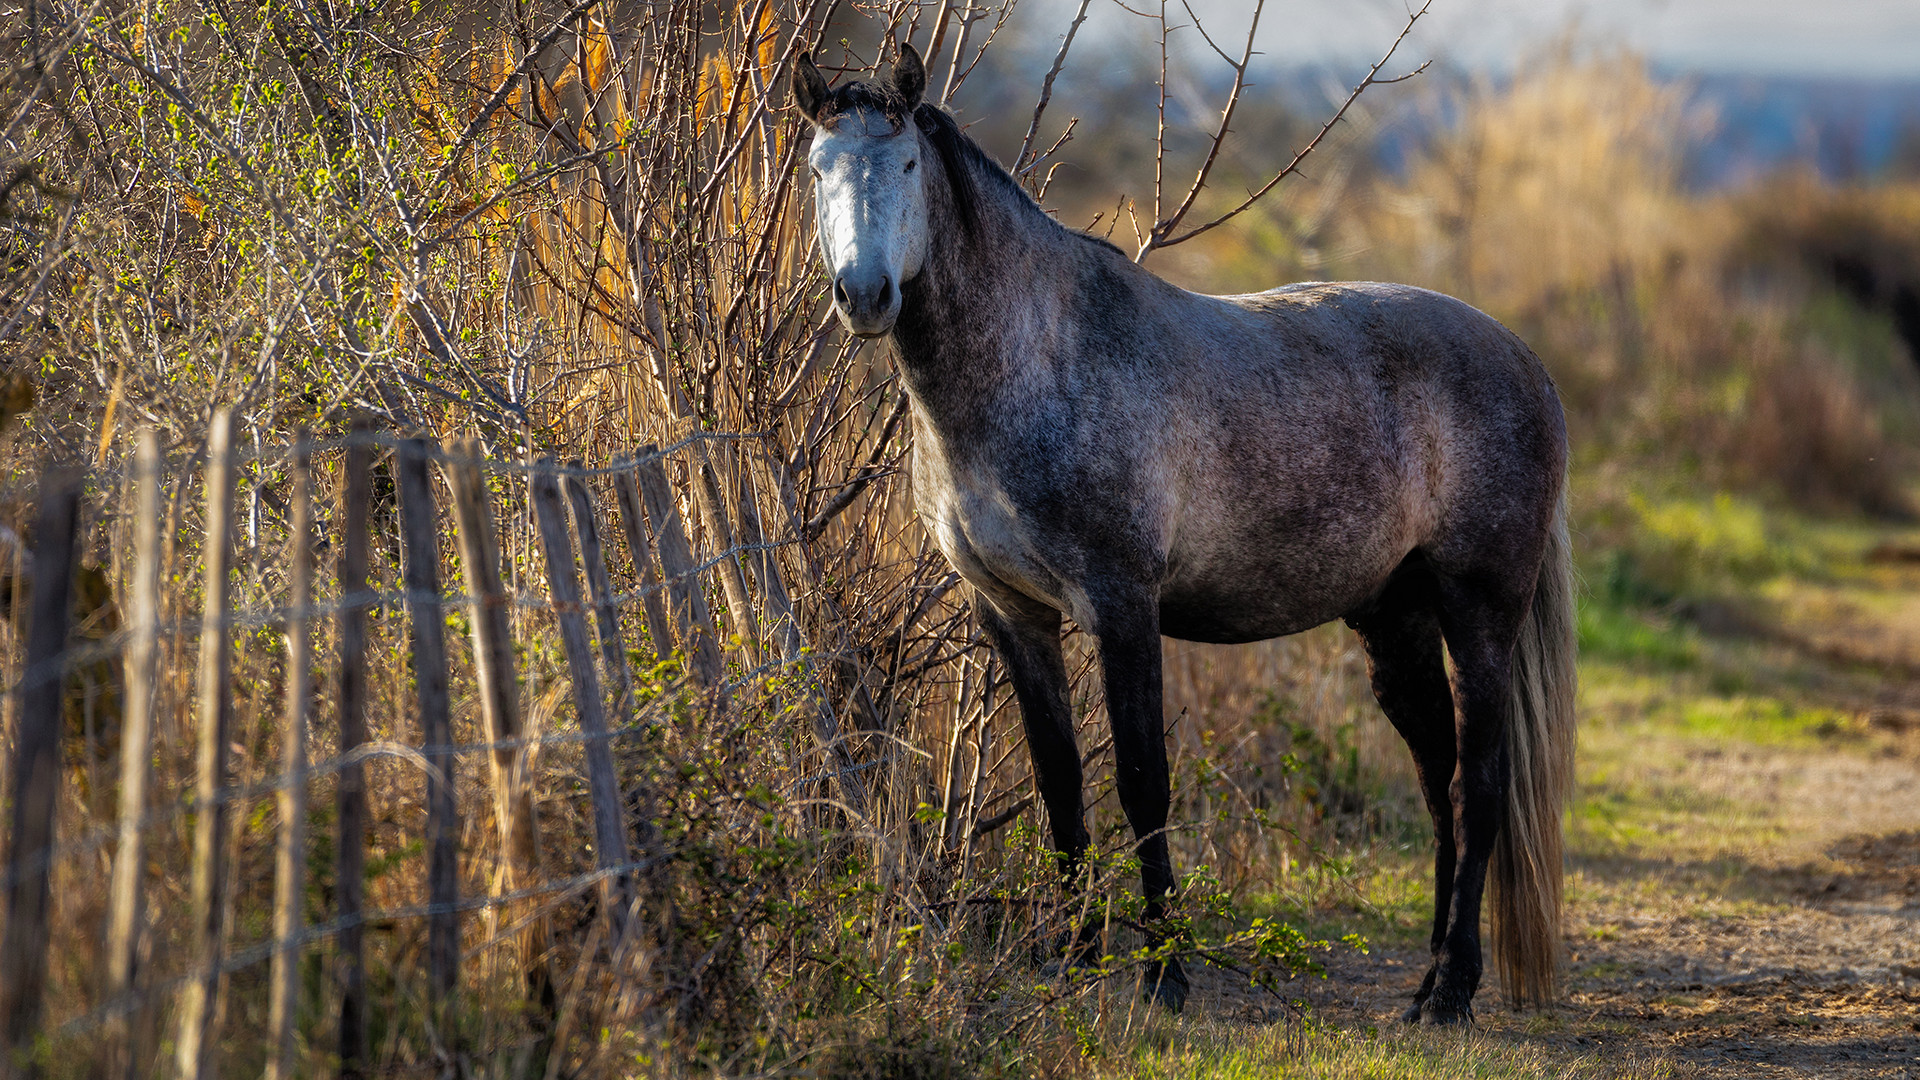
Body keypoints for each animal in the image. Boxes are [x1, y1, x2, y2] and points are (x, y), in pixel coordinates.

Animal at [787, 42, 1566, 1014]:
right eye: (818, 169)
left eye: (902, 165)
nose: (865, 295)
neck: (1034, 361)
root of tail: (1524, 360)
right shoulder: (1013, 615)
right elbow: (1061, 786)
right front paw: (1077, 958)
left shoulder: (1123, 608)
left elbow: (1141, 785)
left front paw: (1164, 972)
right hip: (1397, 619)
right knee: (1439, 778)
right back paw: (1426, 979)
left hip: (1480, 612)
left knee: (1481, 785)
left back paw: (1453, 989)